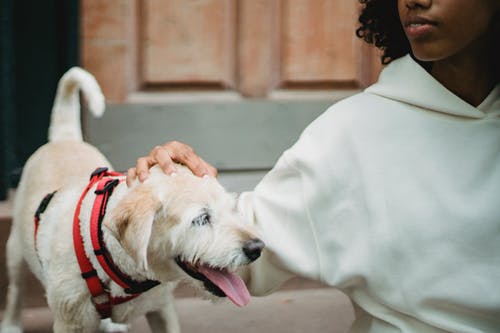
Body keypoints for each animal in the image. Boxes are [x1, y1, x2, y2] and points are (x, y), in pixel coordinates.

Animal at [0, 67, 266, 332]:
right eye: (201, 218)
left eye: (232, 208)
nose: (257, 248)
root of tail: (65, 139)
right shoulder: (71, 321)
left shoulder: (162, 307)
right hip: (15, 250)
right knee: (15, 289)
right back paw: (11, 323)